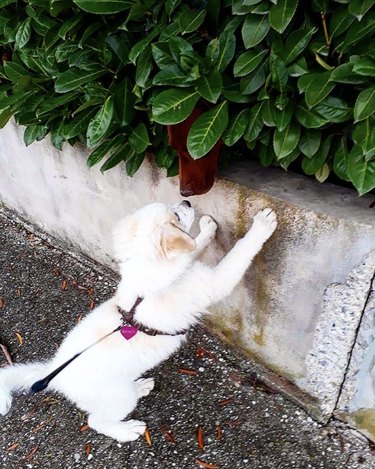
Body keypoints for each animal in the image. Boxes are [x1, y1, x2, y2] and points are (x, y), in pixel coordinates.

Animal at [0, 199, 276, 440]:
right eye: (176, 217)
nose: (186, 202)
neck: (149, 284)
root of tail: (53, 374)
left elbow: (194, 246)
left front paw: (207, 228)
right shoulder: (212, 283)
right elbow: (239, 253)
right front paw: (262, 226)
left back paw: (141, 386)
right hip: (117, 400)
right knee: (96, 421)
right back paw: (127, 430)